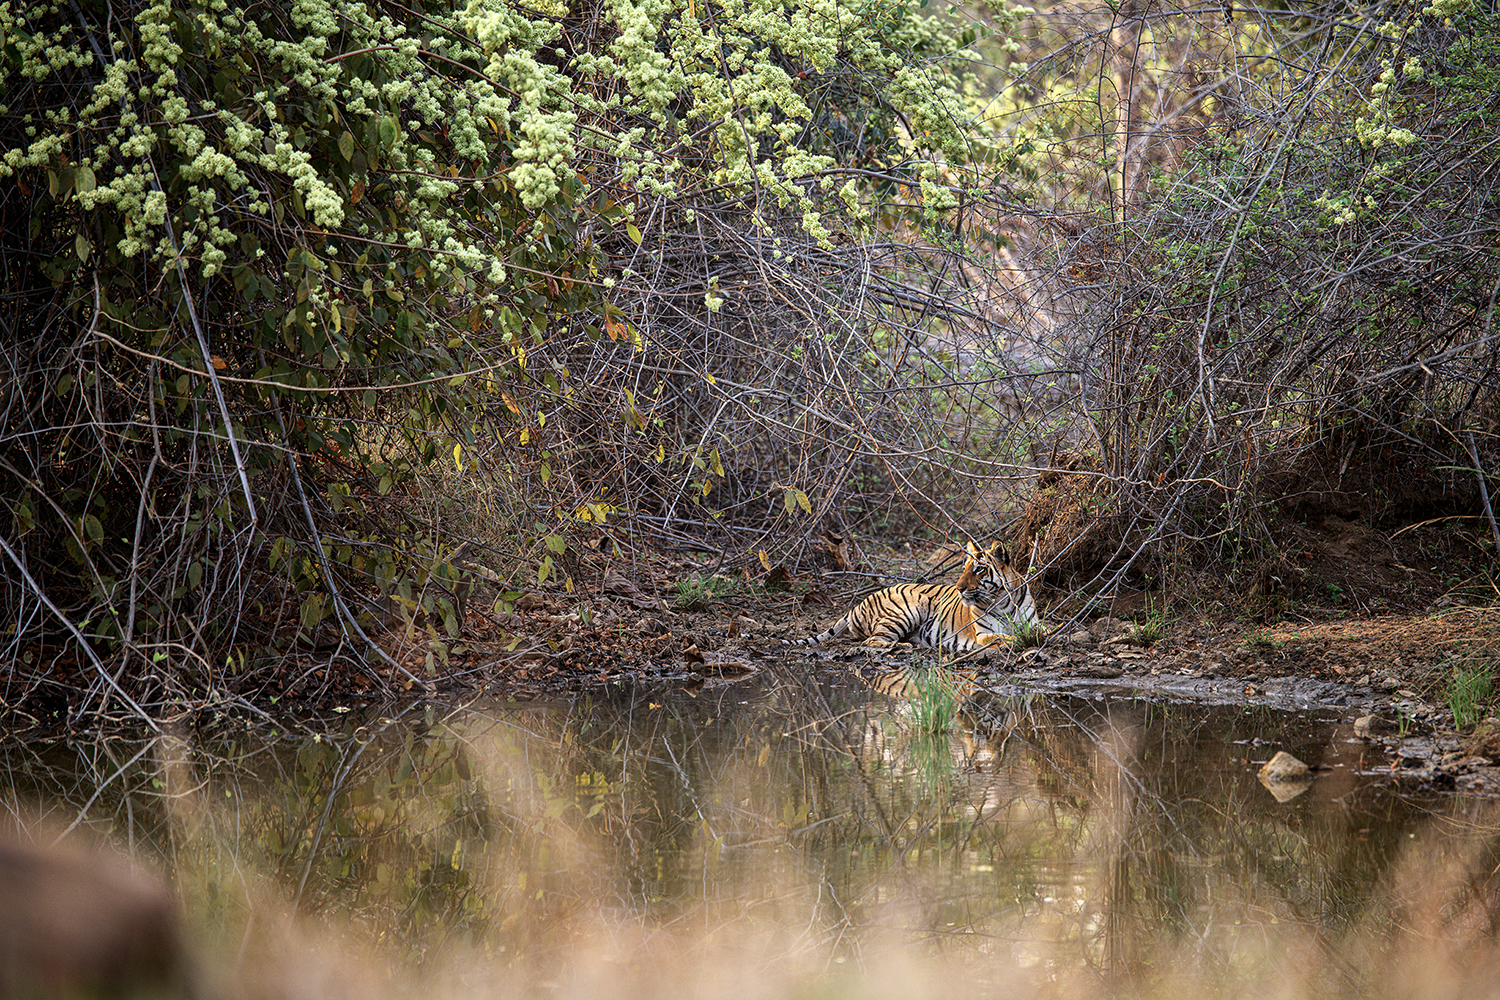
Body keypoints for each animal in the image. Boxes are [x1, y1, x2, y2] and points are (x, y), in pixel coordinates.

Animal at [785, 540, 1041, 654]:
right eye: (964, 568)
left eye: (978, 570)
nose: (958, 588)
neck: (1003, 601)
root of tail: (858, 604)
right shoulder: (983, 635)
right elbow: (1004, 637)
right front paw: (1018, 640)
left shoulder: (1036, 623)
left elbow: (1041, 631)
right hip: (907, 609)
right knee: (872, 642)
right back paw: (905, 646)